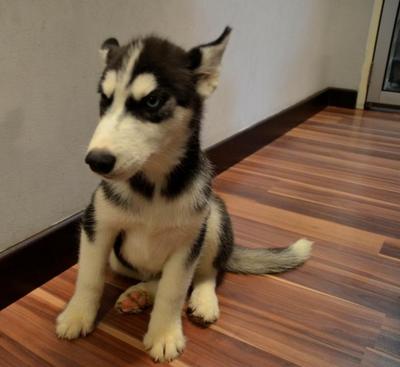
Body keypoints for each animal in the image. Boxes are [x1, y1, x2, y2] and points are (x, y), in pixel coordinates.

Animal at [56, 26, 312, 362]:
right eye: (105, 99)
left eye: (152, 101)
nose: (96, 160)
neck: (153, 186)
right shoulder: (97, 224)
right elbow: (88, 277)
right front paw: (77, 315)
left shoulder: (188, 242)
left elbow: (174, 290)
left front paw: (164, 334)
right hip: (120, 258)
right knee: (155, 276)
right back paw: (140, 293)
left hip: (213, 216)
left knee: (203, 274)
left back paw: (201, 299)